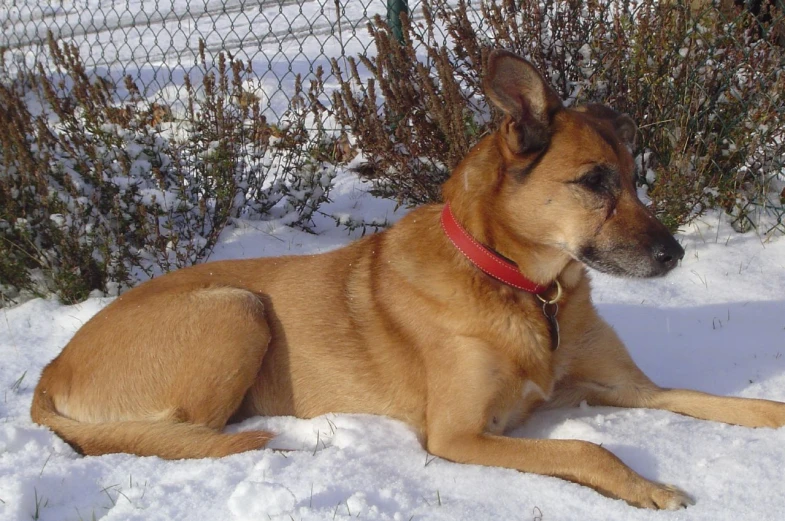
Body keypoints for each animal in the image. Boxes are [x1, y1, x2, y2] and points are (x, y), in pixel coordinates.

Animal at [30, 49, 784, 508]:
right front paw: (645, 485)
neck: (526, 290)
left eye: (632, 178)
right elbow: (582, 445)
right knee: (180, 436)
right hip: (237, 307)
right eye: (594, 182)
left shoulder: (627, 388)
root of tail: (50, 368)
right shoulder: (456, 436)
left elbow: (709, 399)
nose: (674, 255)